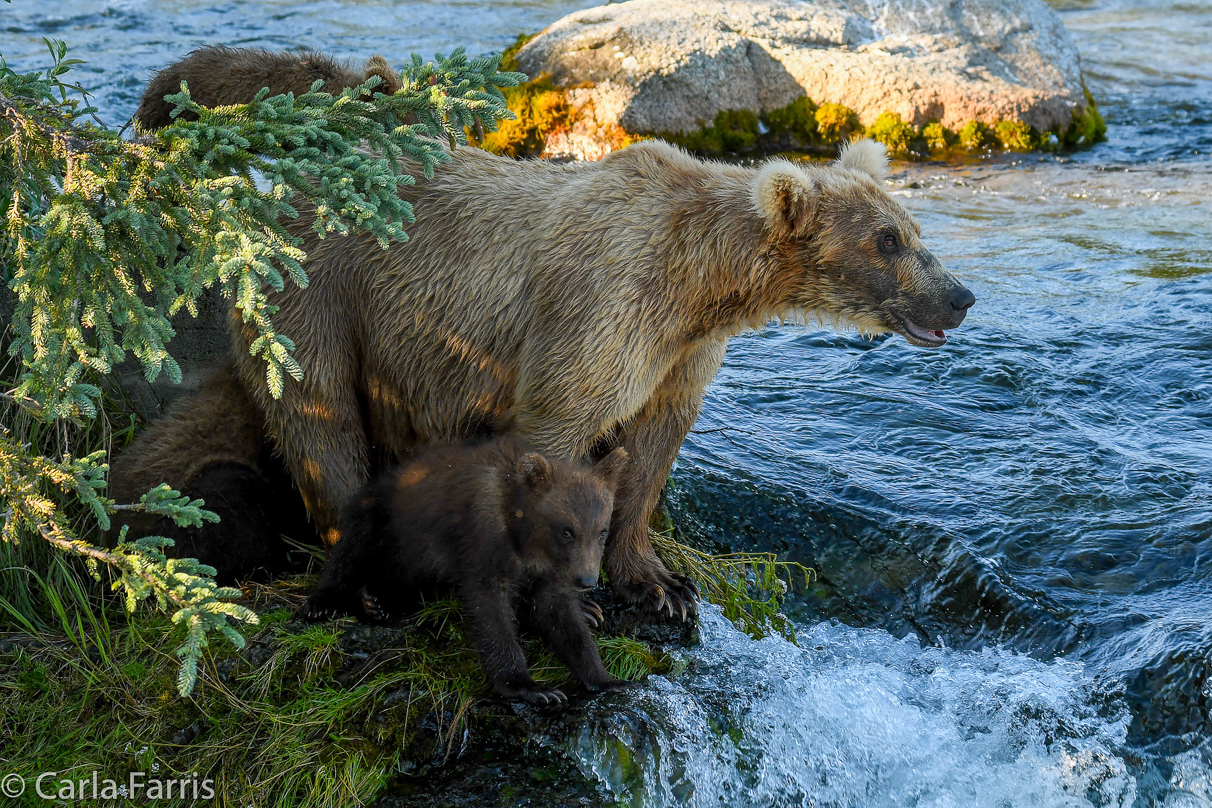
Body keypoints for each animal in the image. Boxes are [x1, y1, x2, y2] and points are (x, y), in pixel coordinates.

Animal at [115, 47, 974, 620]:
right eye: (886, 240)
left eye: (912, 229)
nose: (960, 297)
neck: (702, 284)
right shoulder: (601, 309)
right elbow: (562, 427)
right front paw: (571, 597)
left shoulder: (680, 354)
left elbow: (651, 454)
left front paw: (659, 584)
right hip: (324, 295)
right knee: (318, 420)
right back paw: (364, 578)